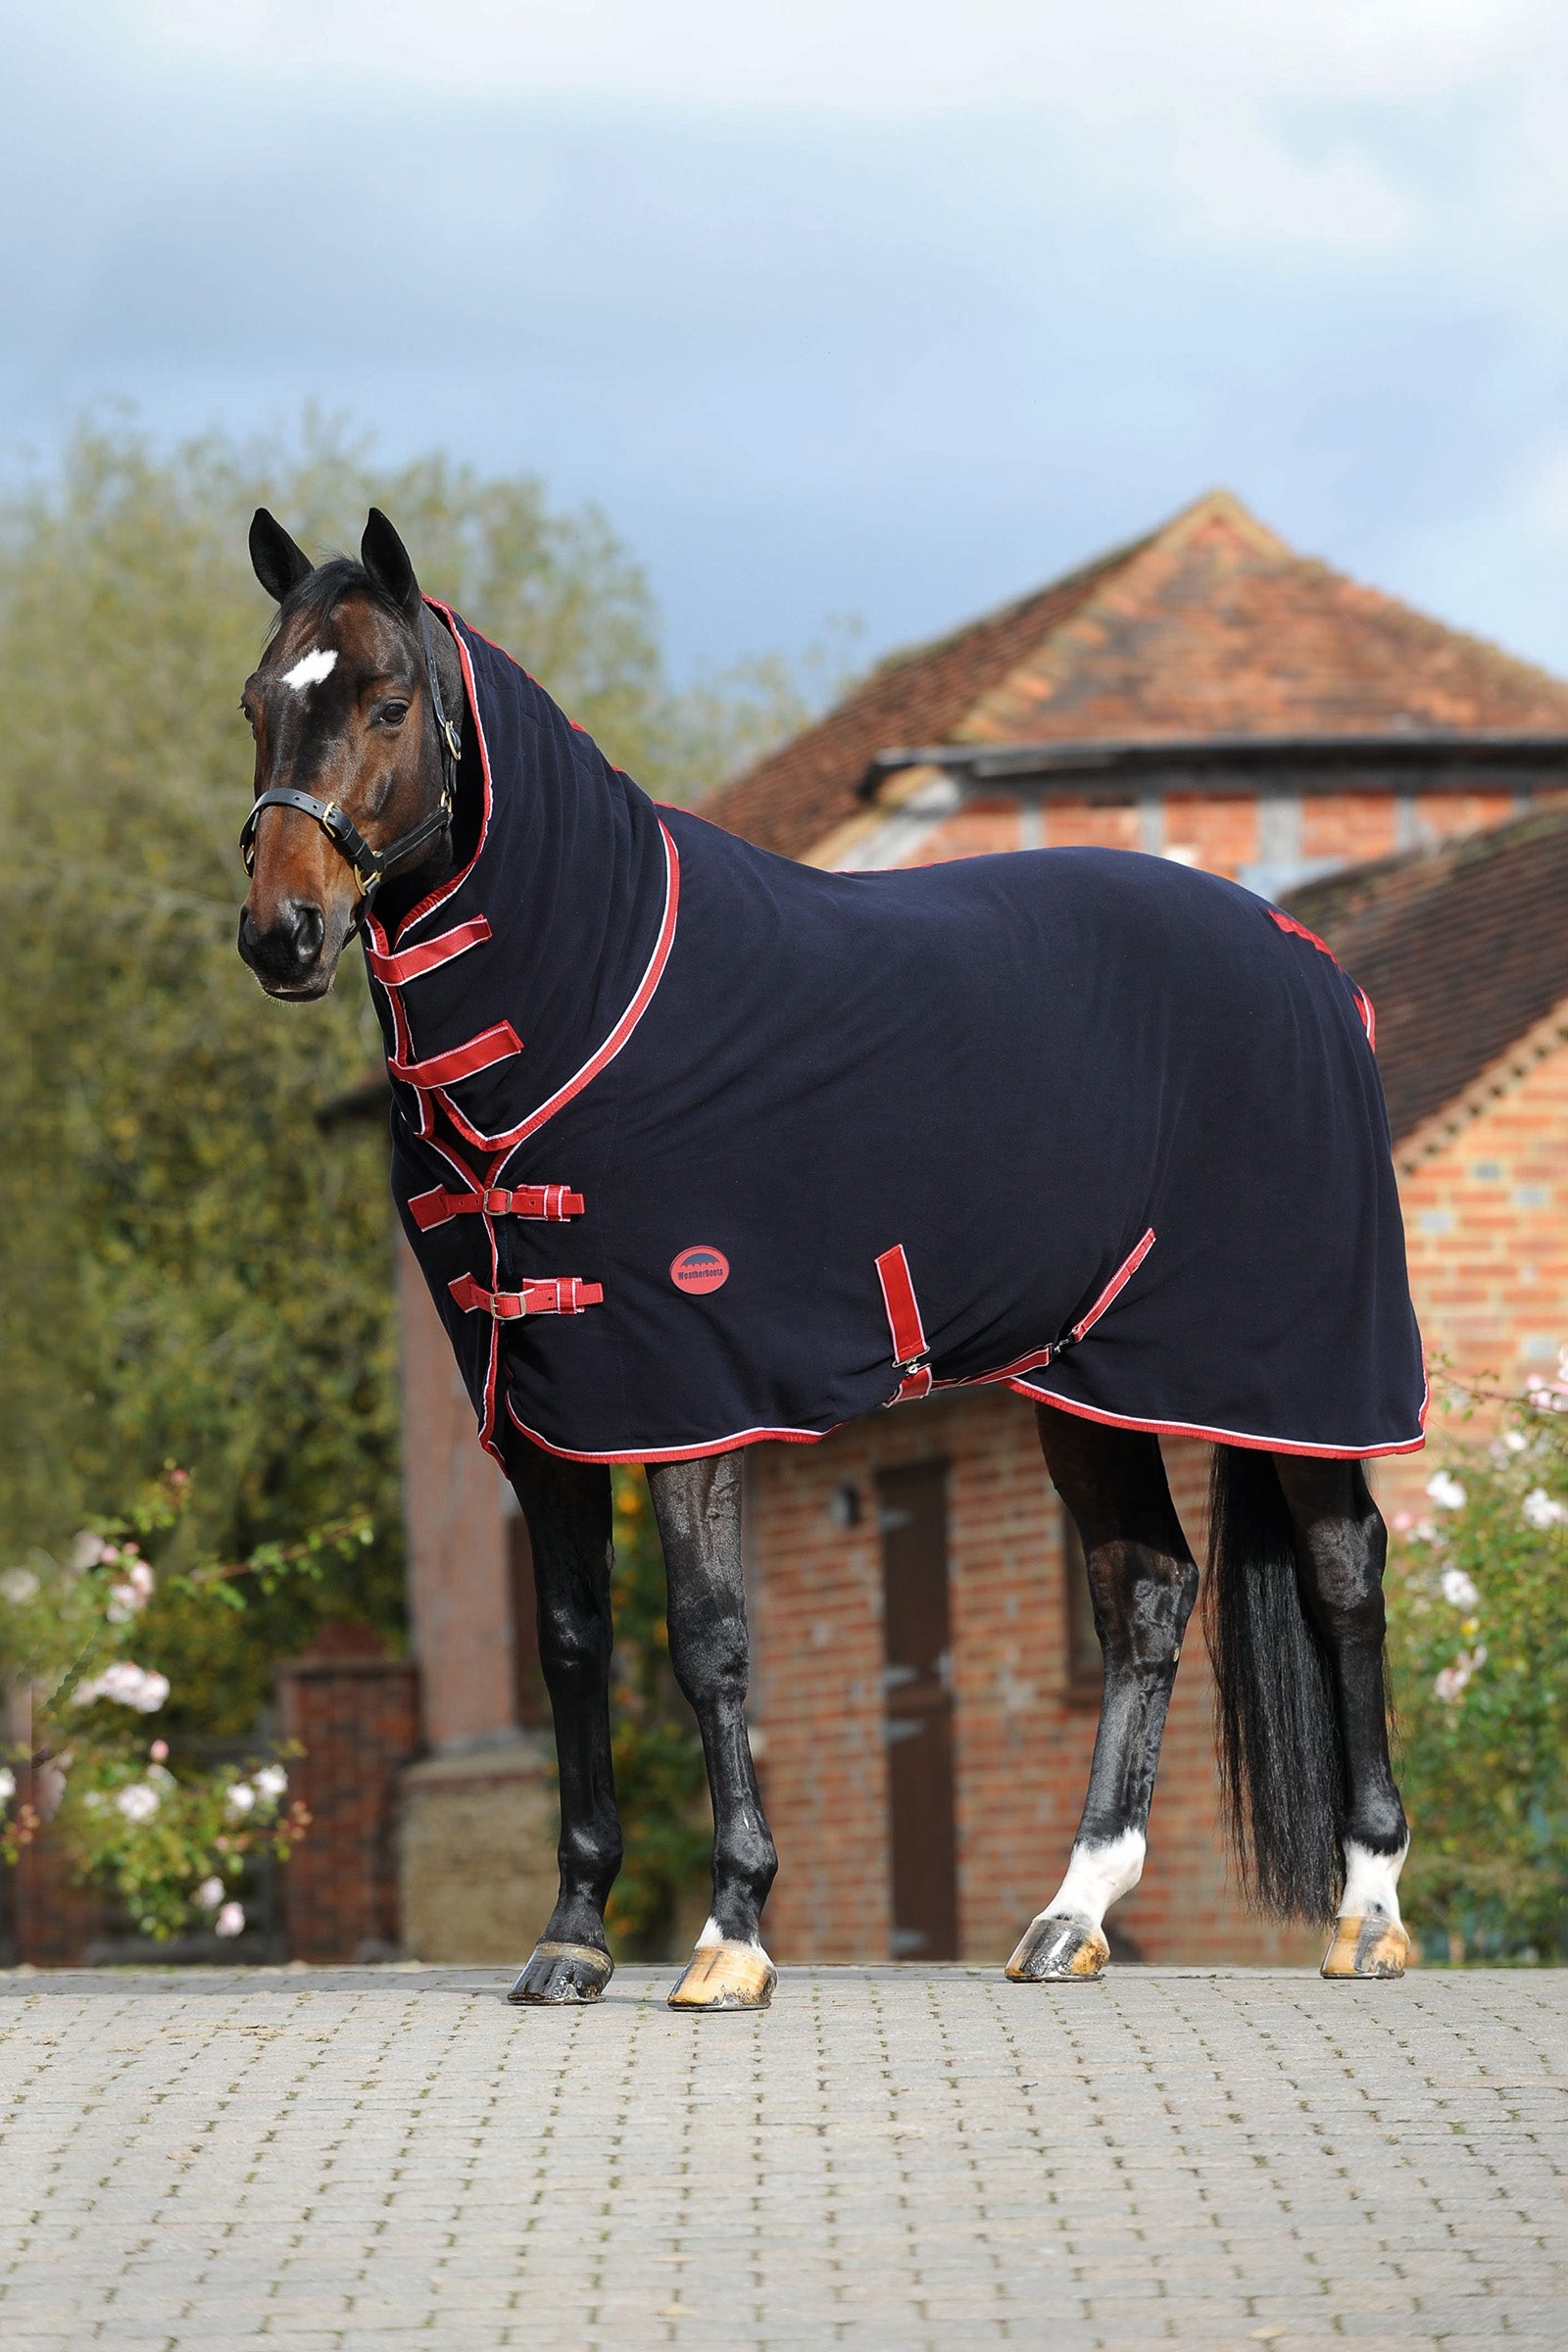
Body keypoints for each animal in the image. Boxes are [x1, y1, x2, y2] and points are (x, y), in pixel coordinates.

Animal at [237, 505, 1424, 2007]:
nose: (281, 932)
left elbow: (706, 1640)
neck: (590, 1000)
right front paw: (571, 1935)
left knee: (1343, 1578)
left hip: (1296, 1371)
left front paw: (732, 1931)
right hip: (1091, 1382)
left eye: (387, 704)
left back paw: (1367, 1910)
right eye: (258, 702)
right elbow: (572, 1645)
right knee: (1146, 1597)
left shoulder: (684, 1393)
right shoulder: (545, 1406)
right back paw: (1072, 1915)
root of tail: (1312, 963)